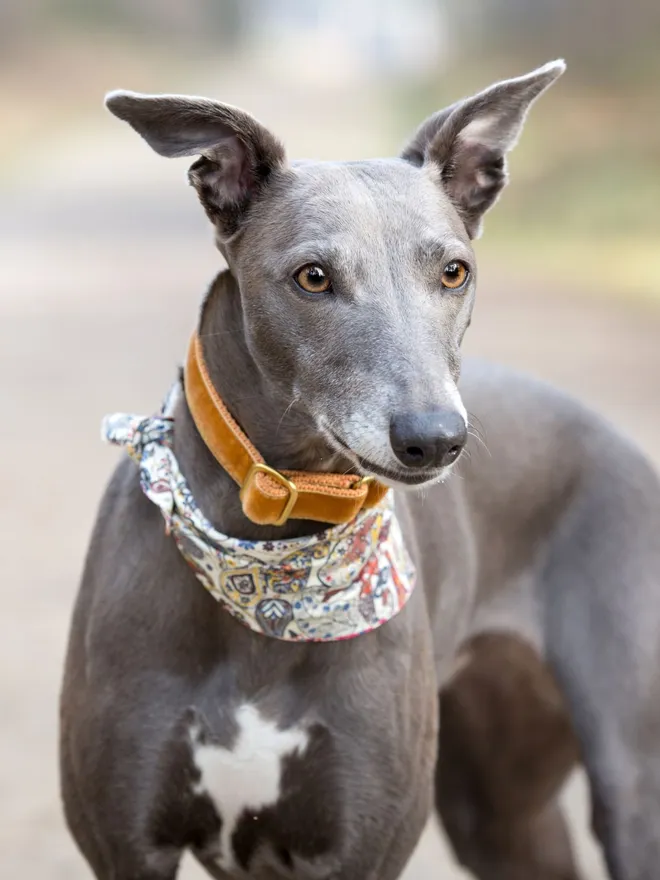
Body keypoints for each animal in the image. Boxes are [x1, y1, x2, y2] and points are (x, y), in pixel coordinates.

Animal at [59, 62, 660, 880]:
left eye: (454, 271)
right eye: (312, 277)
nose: (435, 439)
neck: (275, 549)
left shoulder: (358, 848)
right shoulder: (128, 847)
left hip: (625, 784)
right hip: (498, 808)